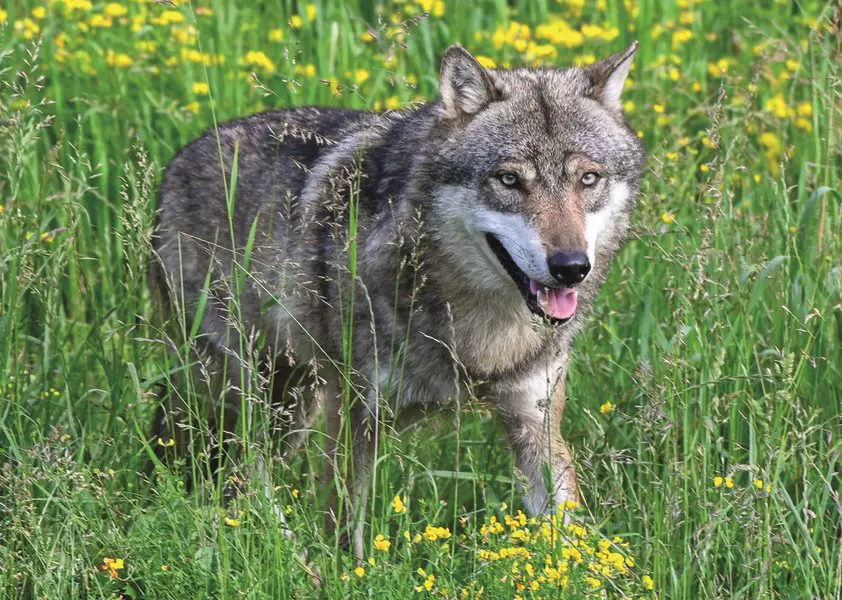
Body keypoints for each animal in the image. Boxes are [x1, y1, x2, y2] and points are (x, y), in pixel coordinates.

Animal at [150, 42, 646, 559]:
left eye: (588, 179)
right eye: (509, 180)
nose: (571, 266)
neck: (481, 332)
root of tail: (177, 163)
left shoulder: (536, 422)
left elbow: (568, 537)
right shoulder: (355, 415)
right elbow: (344, 526)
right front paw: (344, 571)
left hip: (292, 404)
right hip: (249, 395)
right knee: (241, 473)